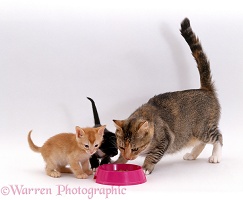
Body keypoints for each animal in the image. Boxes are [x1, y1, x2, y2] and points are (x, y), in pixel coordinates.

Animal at [113, 18, 223, 174]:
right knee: (201, 143)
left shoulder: (165, 139)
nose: (128, 156)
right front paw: (117, 162)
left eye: (135, 148)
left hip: (203, 129)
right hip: (194, 134)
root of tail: (205, 89)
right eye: (121, 147)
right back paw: (192, 155)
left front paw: (145, 168)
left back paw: (216, 156)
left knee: (218, 137)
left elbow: (153, 155)